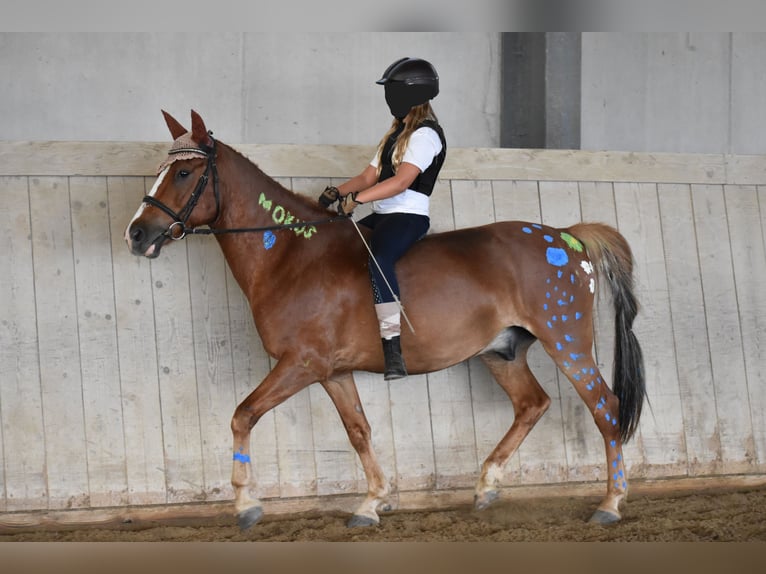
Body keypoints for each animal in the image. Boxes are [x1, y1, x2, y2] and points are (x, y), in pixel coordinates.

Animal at [126, 110, 648, 532]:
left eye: (184, 172)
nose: (137, 234)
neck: (292, 255)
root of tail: (566, 236)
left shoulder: (301, 364)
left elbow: (243, 415)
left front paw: (246, 504)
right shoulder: (333, 373)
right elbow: (359, 431)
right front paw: (372, 504)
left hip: (568, 342)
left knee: (605, 407)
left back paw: (610, 504)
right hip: (502, 351)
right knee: (532, 405)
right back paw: (486, 487)